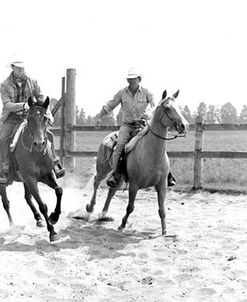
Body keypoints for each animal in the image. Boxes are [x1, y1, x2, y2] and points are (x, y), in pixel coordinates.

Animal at [0, 96, 62, 241]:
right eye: (30, 118)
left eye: (46, 118)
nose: (39, 143)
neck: (36, 153)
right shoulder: (30, 179)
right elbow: (43, 205)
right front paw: (52, 231)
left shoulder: (47, 174)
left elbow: (59, 190)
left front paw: (54, 217)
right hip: (6, 183)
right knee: (6, 203)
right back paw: (12, 225)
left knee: (27, 198)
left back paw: (38, 219)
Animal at [86, 90, 188, 236]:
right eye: (168, 108)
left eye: (179, 107)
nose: (184, 126)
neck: (151, 154)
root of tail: (107, 137)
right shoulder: (134, 185)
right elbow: (130, 207)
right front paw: (122, 225)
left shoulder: (162, 185)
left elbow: (162, 210)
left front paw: (164, 231)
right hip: (102, 169)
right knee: (96, 182)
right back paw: (90, 208)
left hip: (119, 177)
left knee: (111, 190)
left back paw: (104, 214)